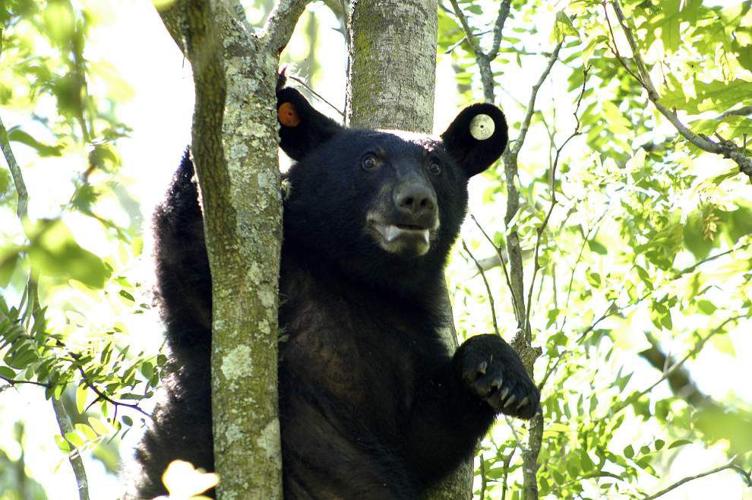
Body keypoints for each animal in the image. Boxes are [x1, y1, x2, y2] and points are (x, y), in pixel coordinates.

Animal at [132, 78, 540, 499]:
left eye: (436, 166)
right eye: (369, 161)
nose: (417, 201)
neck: (357, 279)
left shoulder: (408, 332)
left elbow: (425, 437)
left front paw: (500, 375)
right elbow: (189, 258)